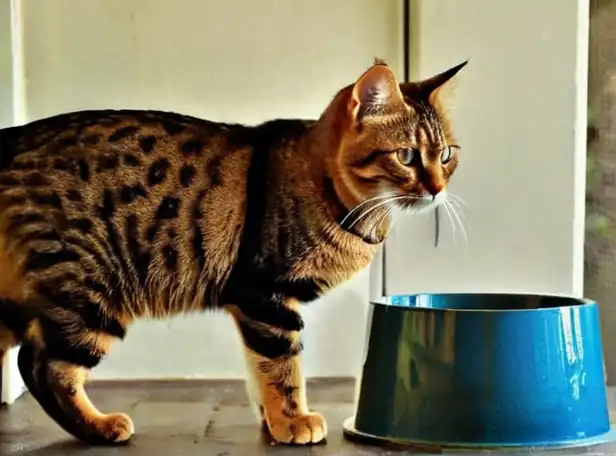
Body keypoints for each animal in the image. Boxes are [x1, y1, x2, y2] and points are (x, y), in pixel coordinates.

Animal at [0, 58, 464, 446]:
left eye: (445, 154)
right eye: (406, 156)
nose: (438, 189)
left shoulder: (252, 306)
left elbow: (259, 370)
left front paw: (271, 421)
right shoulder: (266, 296)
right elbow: (283, 366)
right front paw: (293, 420)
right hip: (92, 292)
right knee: (40, 364)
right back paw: (99, 426)